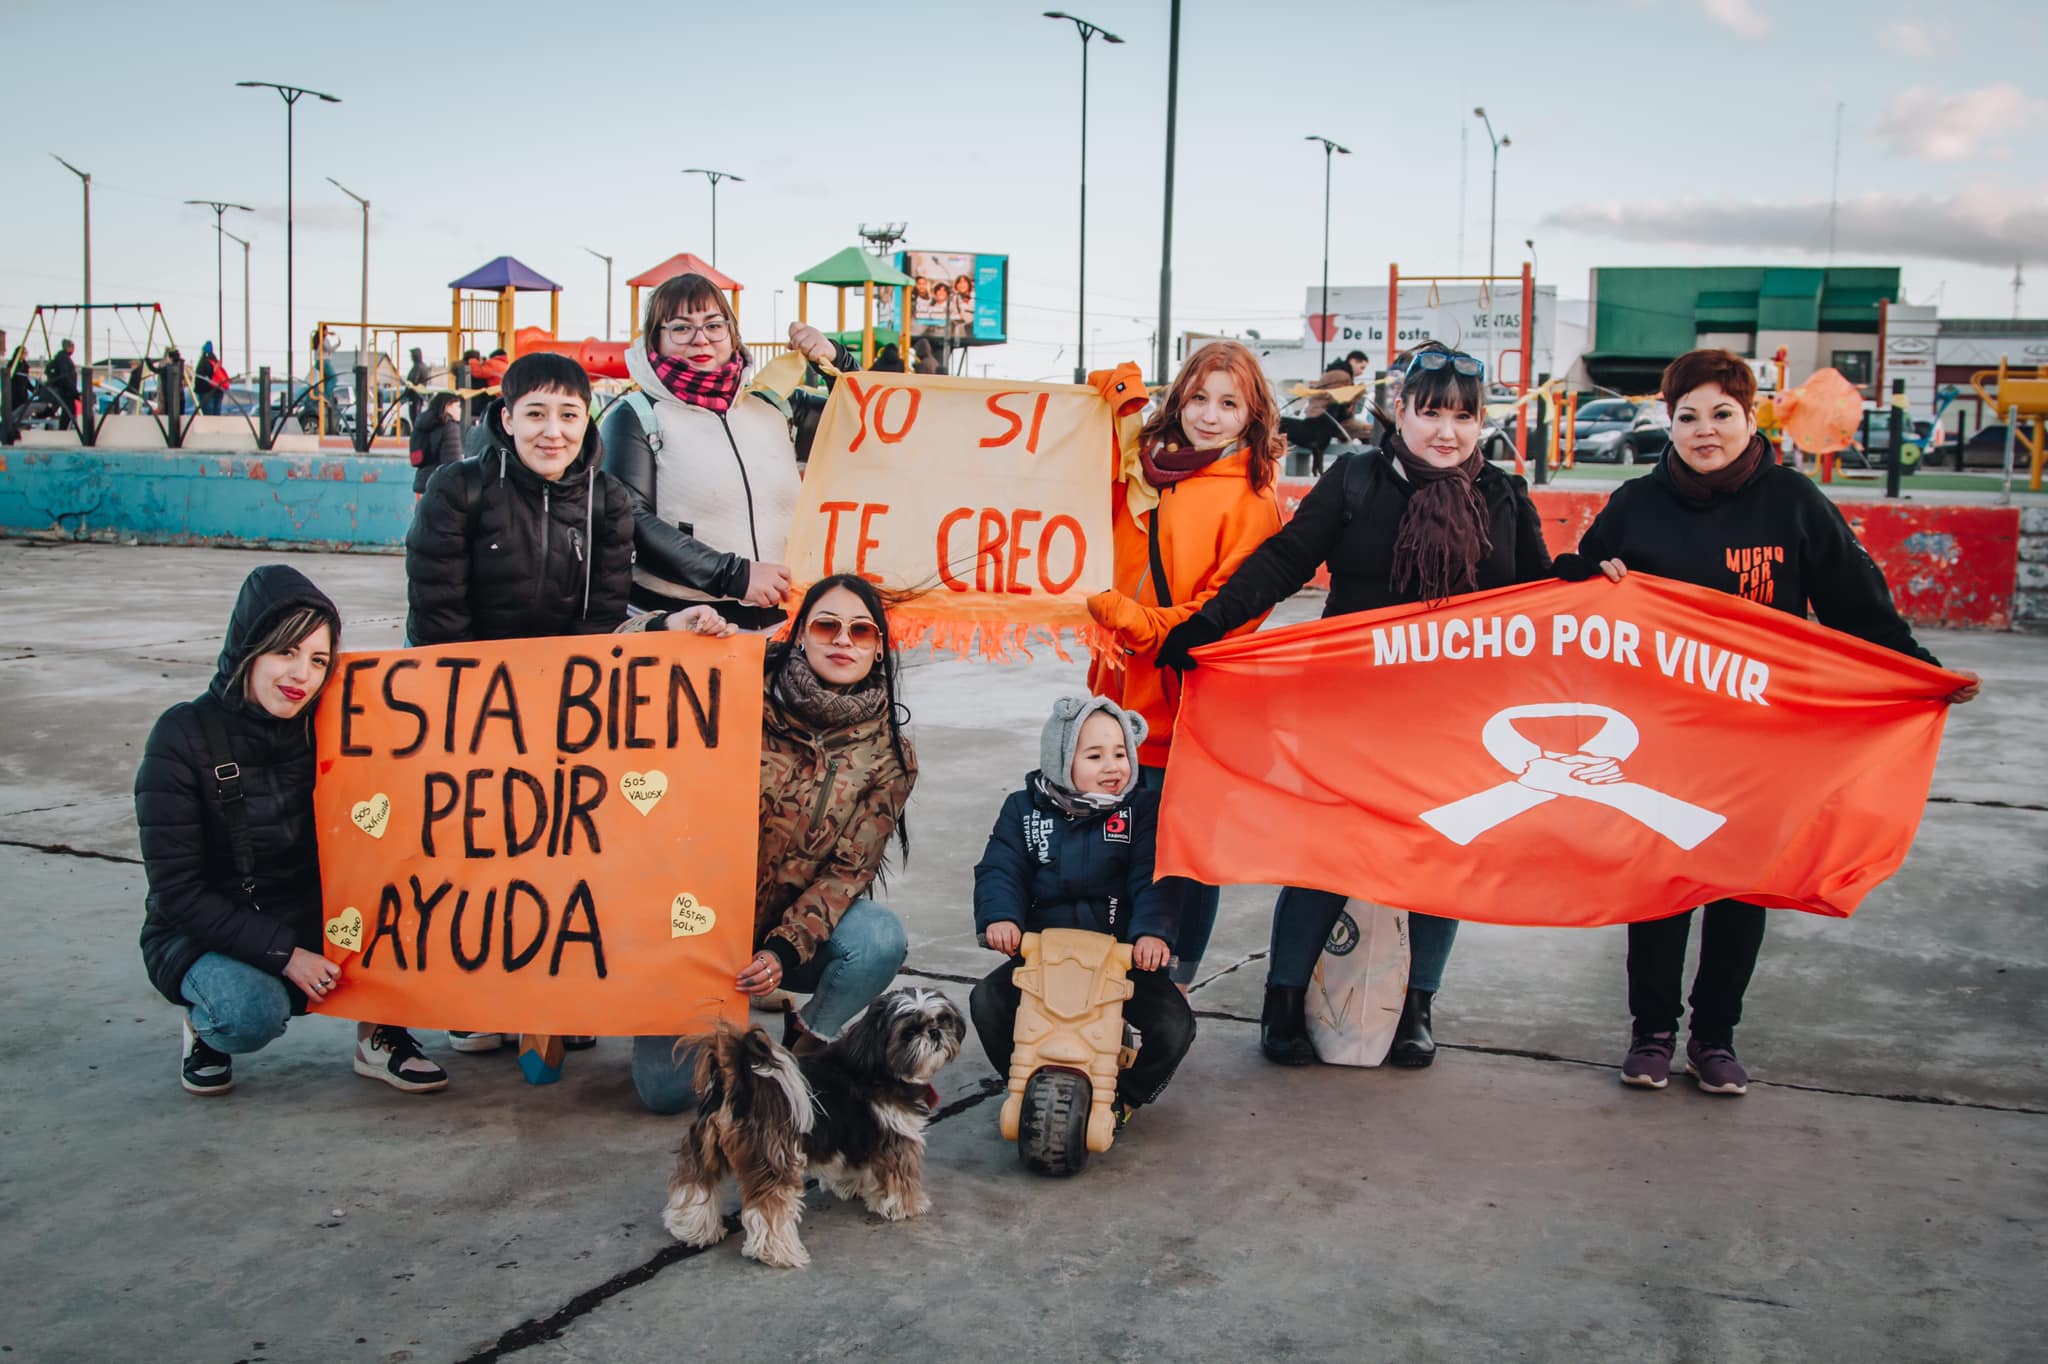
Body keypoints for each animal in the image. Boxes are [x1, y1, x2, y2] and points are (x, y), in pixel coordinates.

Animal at [663, 987, 966, 1261]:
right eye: (909, 1032)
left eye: (942, 1020)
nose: (935, 1033)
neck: (878, 1065)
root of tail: (738, 1082)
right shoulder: (895, 1137)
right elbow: (900, 1177)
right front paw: (908, 1205)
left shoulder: (851, 1136)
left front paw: (853, 1188)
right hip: (774, 1159)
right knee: (767, 1211)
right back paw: (778, 1252)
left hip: (704, 1148)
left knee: (695, 1185)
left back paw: (692, 1229)